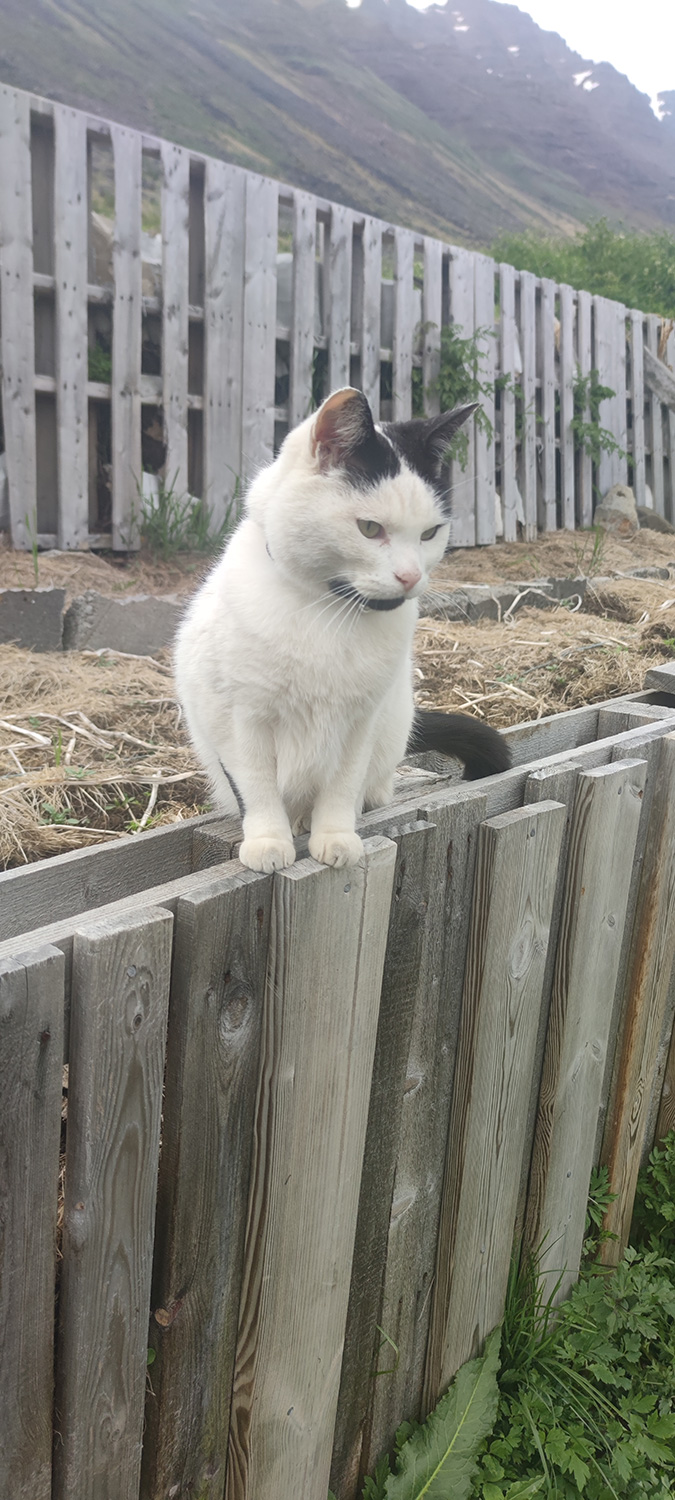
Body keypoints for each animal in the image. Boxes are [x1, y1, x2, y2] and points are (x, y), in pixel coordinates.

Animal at [175, 387, 513, 876]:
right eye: (370, 528)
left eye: (431, 532)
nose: (411, 577)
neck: (330, 614)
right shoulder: (238, 719)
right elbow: (257, 784)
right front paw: (268, 841)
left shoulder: (360, 719)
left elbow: (342, 781)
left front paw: (335, 837)